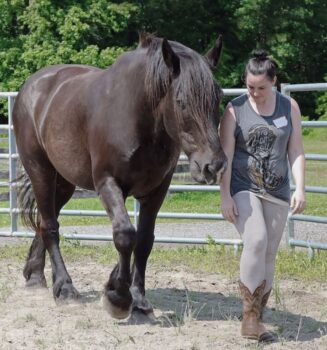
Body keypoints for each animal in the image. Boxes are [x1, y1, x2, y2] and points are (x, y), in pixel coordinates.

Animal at [13, 32, 228, 320]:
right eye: (181, 102)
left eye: (217, 98)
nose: (213, 165)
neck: (137, 118)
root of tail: (31, 86)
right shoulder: (107, 183)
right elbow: (125, 235)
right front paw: (118, 296)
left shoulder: (156, 191)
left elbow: (144, 241)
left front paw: (137, 297)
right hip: (41, 171)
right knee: (50, 226)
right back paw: (65, 288)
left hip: (65, 182)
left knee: (45, 220)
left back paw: (35, 275)